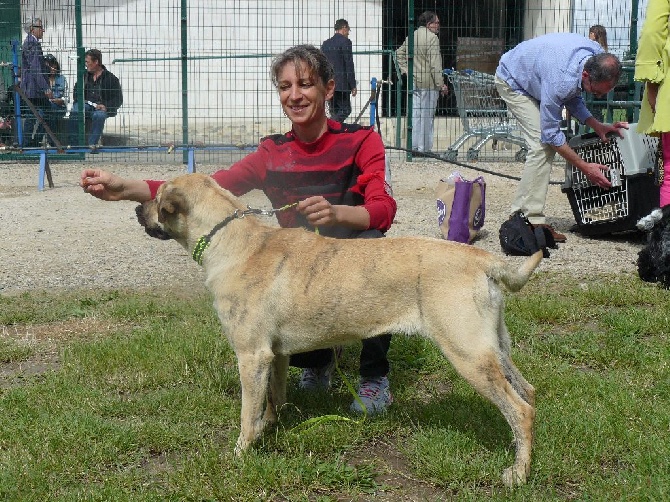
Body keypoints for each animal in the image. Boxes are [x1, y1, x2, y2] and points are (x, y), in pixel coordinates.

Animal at [138, 173, 544, 486]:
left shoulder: (251, 355)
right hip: (494, 349)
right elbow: (272, 398)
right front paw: (271, 427)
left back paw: (518, 475)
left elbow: (246, 414)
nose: (137, 209)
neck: (232, 240)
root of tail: (483, 258)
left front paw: (240, 452)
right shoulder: (275, 355)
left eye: (157, 199)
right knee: (528, 393)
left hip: (468, 353)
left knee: (519, 410)